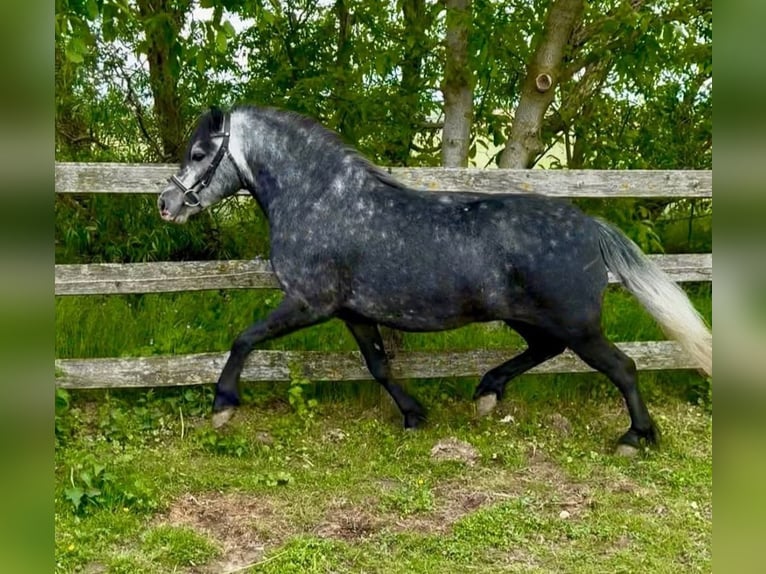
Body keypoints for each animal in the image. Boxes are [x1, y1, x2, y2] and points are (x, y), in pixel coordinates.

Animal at [158, 105, 712, 454]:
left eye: (201, 153)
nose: (167, 204)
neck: (323, 201)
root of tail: (589, 225)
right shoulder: (352, 312)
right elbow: (379, 366)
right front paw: (414, 414)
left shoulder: (308, 302)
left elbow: (244, 338)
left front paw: (222, 406)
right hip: (529, 317)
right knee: (545, 351)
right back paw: (487, 393)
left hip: (578, 325)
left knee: (624, 367)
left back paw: (636, 438)